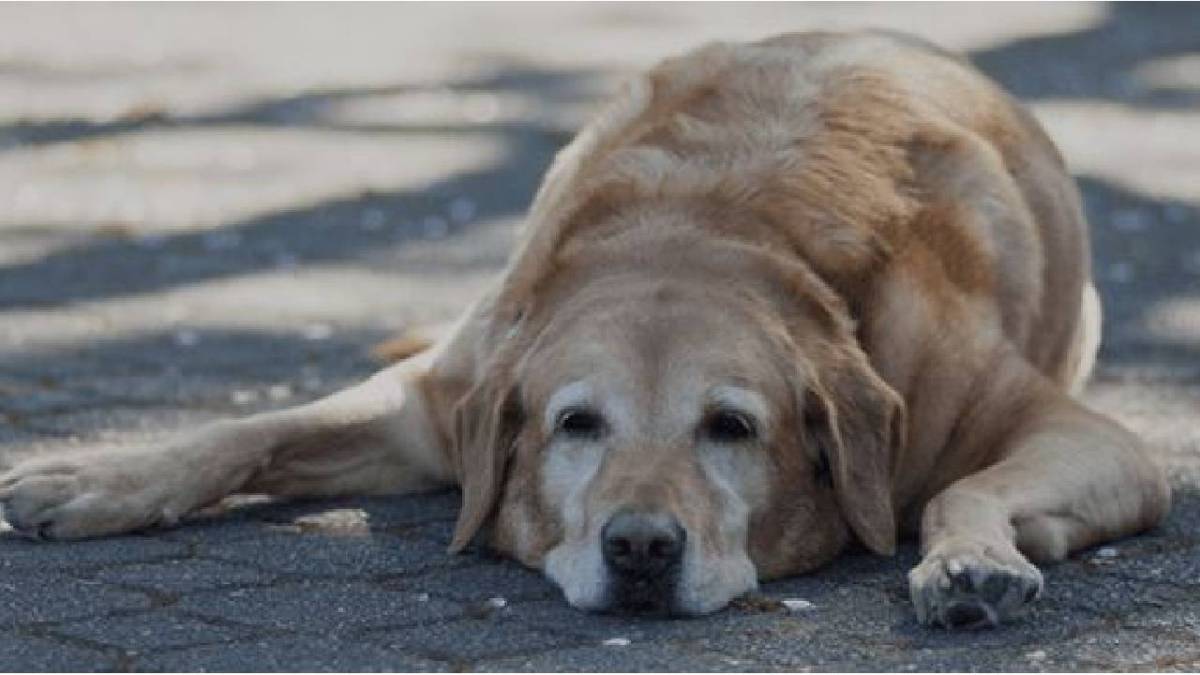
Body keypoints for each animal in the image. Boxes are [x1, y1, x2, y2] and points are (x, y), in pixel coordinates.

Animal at [0, 28, 1166, 629]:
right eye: (576, 424)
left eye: (731, 428)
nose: (641, 548)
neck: (707, 230)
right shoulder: (438, 401)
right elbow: (245, 430)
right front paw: (98, 475)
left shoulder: (1094, 439)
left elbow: (961, 490)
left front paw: (968, 559)